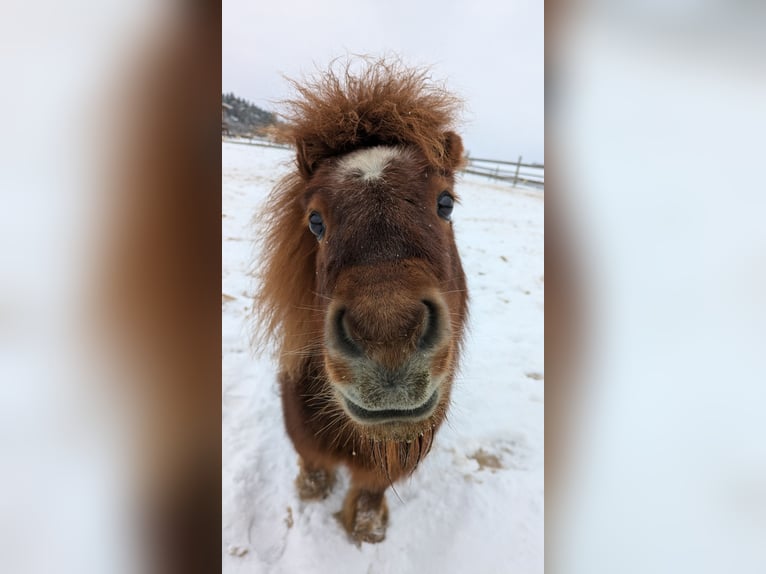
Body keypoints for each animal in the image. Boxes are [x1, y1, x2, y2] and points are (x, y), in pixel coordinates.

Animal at [254, 58, 469, 543]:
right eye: (315, 221)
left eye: (445, 203)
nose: (387, 338)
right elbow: (313, 464)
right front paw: (311, 491)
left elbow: (372, 487)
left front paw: (368, 528)